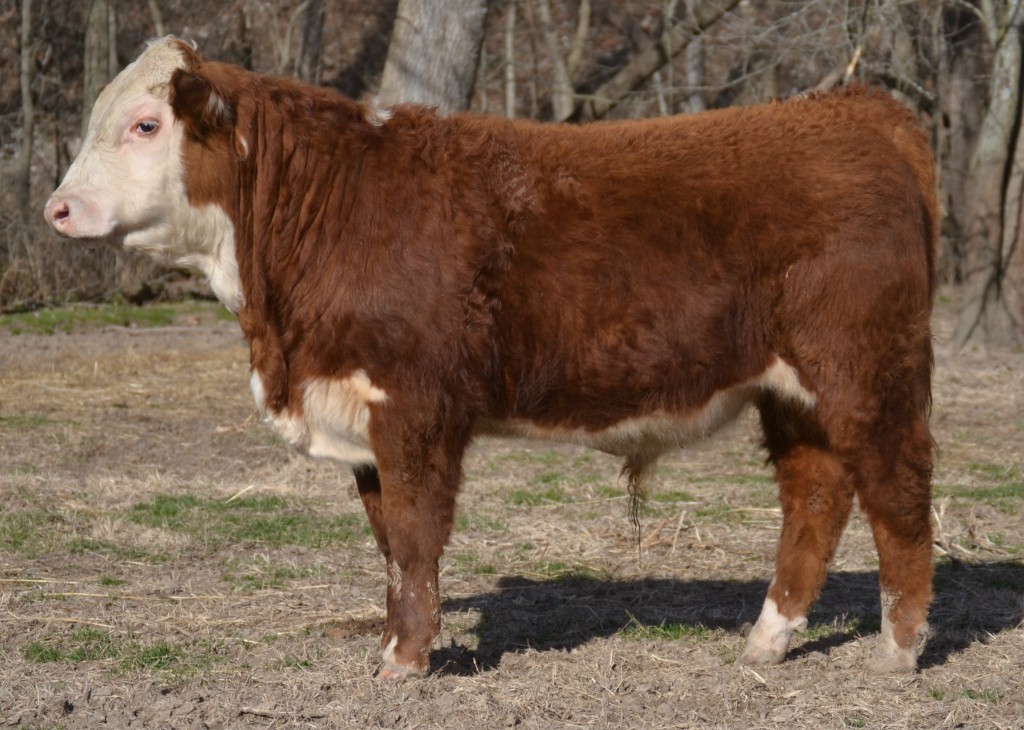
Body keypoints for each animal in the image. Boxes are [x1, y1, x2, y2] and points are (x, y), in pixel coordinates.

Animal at [44, 37, 937, 675]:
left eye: (146, 124)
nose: (57, 208)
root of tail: (860, 110)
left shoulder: (415, 409)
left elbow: (414, 536)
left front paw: (404, 664)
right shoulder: (360, 417)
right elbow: (389, 548)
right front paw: (396, 646)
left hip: (867, 372)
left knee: (898, 494)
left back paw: (897, 652)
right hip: (793, 393)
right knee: (815, 497)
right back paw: (766, 641)